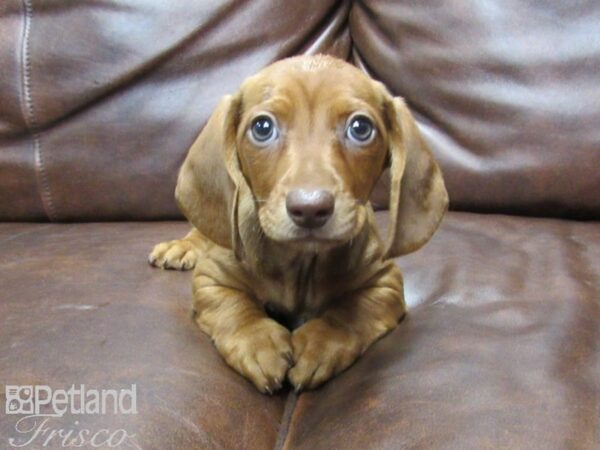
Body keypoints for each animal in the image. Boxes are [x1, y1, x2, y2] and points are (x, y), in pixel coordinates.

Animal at [149, 55, 448, 394]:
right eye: (262, 127)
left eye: (361, 128)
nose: (310, 208)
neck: (301, 263)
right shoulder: (211, 279)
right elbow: (235, 310)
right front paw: (258, 343)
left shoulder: (385, 283)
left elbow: (350, 314)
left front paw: (321, 343)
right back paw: (180, 247)